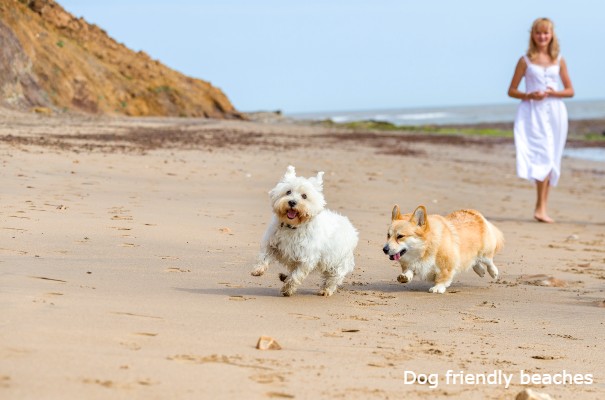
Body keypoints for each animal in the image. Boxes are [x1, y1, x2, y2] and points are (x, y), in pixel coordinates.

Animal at [251, 166, 358, 296]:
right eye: (288, 192)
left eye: (304, 196)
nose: (292, 202)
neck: (293, 226)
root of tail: (351, 228)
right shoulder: (272, 243)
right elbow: (264, 256)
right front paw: (258, 270)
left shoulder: (306, 258)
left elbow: (297, 275)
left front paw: (288, 289)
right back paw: (284, 276)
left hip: (337, 262)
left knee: (334, 278)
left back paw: (325, 290)